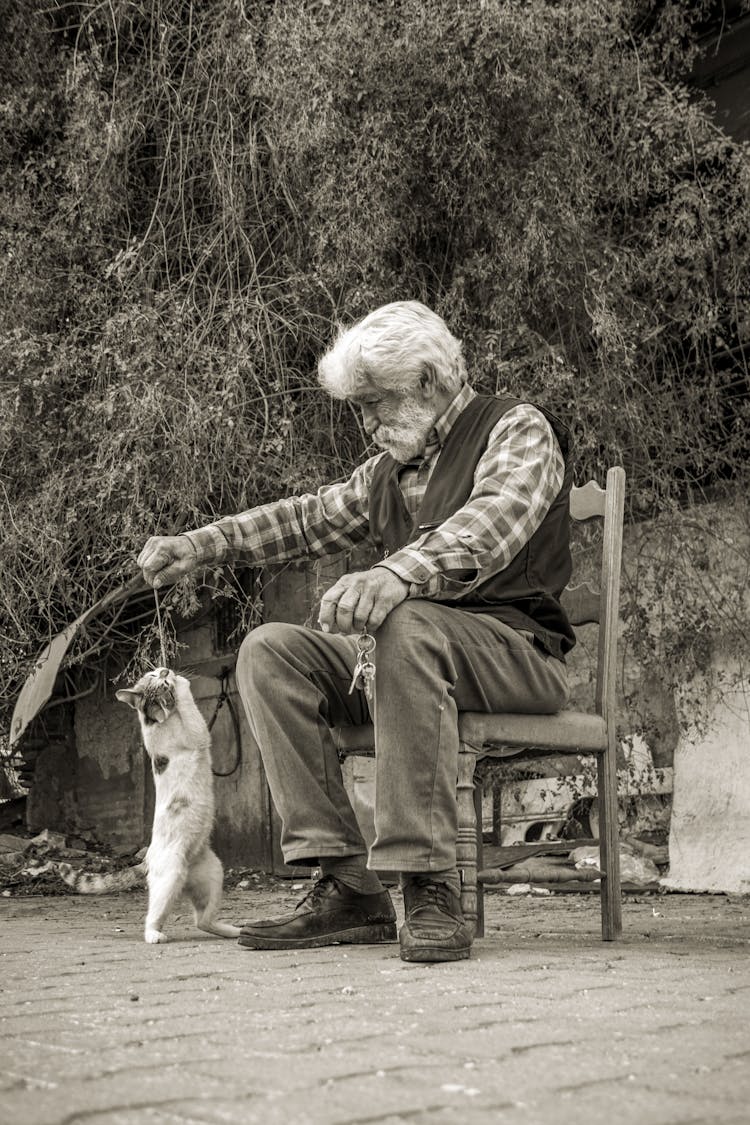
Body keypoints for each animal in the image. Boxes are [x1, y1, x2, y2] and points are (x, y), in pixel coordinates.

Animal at [59, 666, 240, 940]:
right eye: (160, 684)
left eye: (154, 675)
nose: (164, 670)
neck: (155, 722)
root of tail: (148, 857)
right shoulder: (197, 733)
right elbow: (188, 705)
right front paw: (181, 684)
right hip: (170, 878)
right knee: (154, 916)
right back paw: (155, 935)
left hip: (213, 874)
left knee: (202, 921)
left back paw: (233, 931)